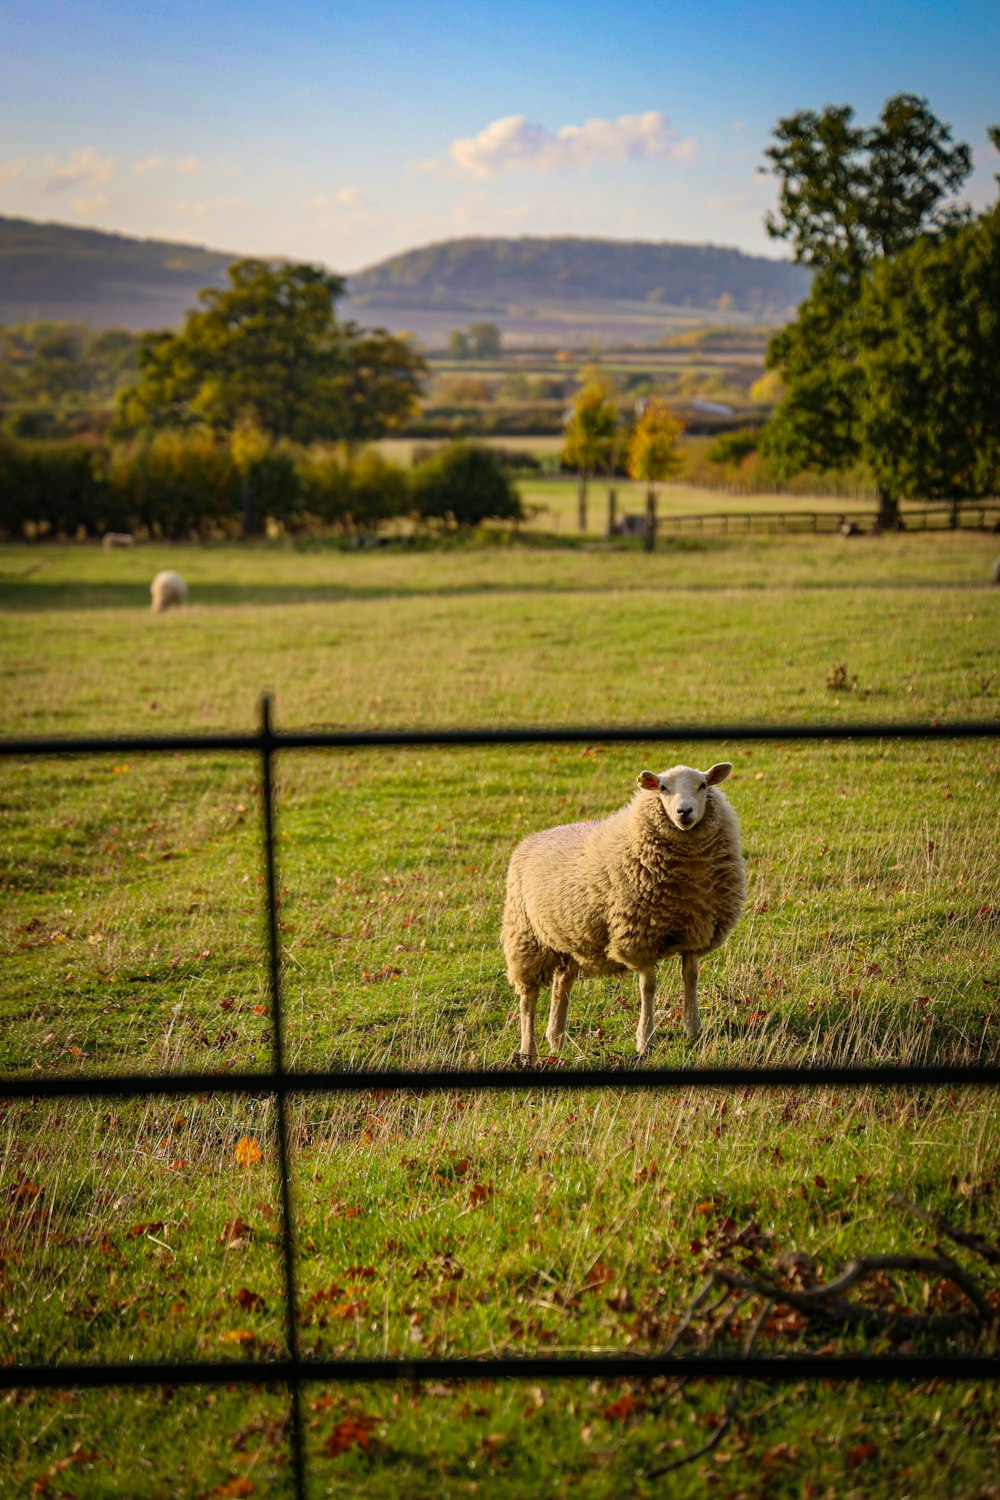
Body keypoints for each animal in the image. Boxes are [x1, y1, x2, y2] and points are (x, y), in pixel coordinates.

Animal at [503, 768, 746, 1062]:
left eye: (702, 785)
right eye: (662, 788)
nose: (684, 811)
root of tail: (529, 839)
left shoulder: (695, 933)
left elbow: (691, 977)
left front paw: (694, 1029)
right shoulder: (639, 936)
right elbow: (648, 987)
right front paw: (645, 1040)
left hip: (570, 942)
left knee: (561, 985)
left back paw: (557, 1040)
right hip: (526, 937)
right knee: (528, 998)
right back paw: (529, 1050)